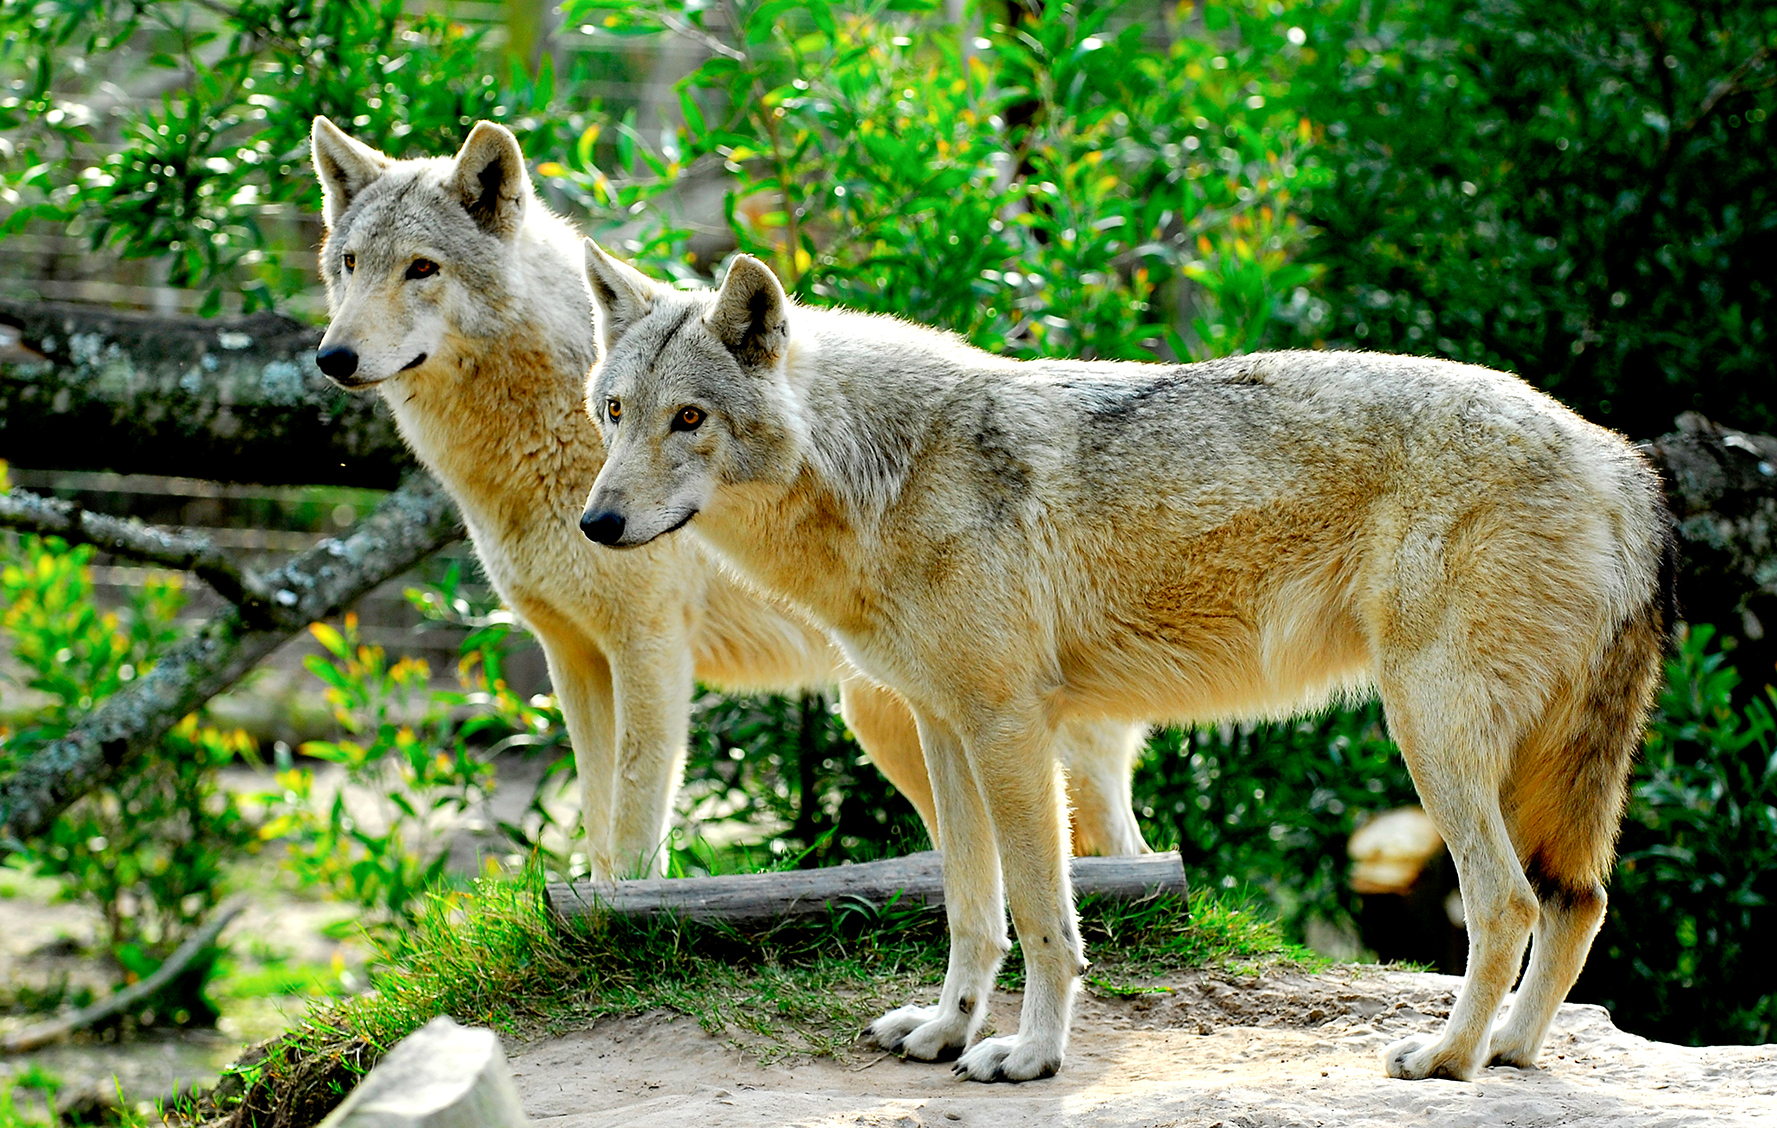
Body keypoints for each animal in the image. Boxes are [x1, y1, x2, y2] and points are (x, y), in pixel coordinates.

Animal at [306, 118, 1150, 881]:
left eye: (421, 268)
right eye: (350, 264)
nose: (332, 357)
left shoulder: (649, 648)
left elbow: (634, 824)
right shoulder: (571, 655)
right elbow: (598, 824)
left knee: (1120, 850)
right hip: (897, 721)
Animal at [578, 245, 1675, 1083]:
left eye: (690, 418)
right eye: (614, 412)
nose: (595, 523)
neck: (883, 472)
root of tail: (1618, 459)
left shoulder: (1010, 728)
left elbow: (1039, 913)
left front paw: (1028, 1056)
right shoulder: (945, 728)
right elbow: (969, 910)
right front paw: (944, 1031)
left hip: (1428, 738)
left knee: (1507, 904)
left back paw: (1448, 1057)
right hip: (1522, 766)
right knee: (1577, 902)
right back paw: (1510, 1052)